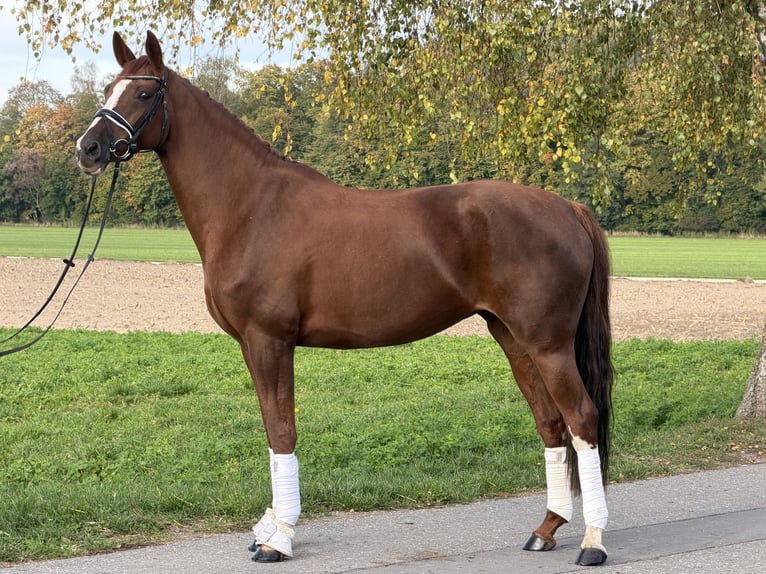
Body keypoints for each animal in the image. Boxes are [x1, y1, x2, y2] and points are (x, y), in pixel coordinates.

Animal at [76, 31, 614, 566]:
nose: (89, 148)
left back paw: (593, 541)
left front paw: (277, 538)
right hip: (513, 337)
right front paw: (270, 526)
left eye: (144, 93)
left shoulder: (270, 340)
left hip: (548, 344)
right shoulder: (252, 345)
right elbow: (271, 430)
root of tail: (568, 207)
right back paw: (546, 528)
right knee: (550, 423)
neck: (250, 207)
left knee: (581, 418)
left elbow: (282, 432)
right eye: (107, 89)